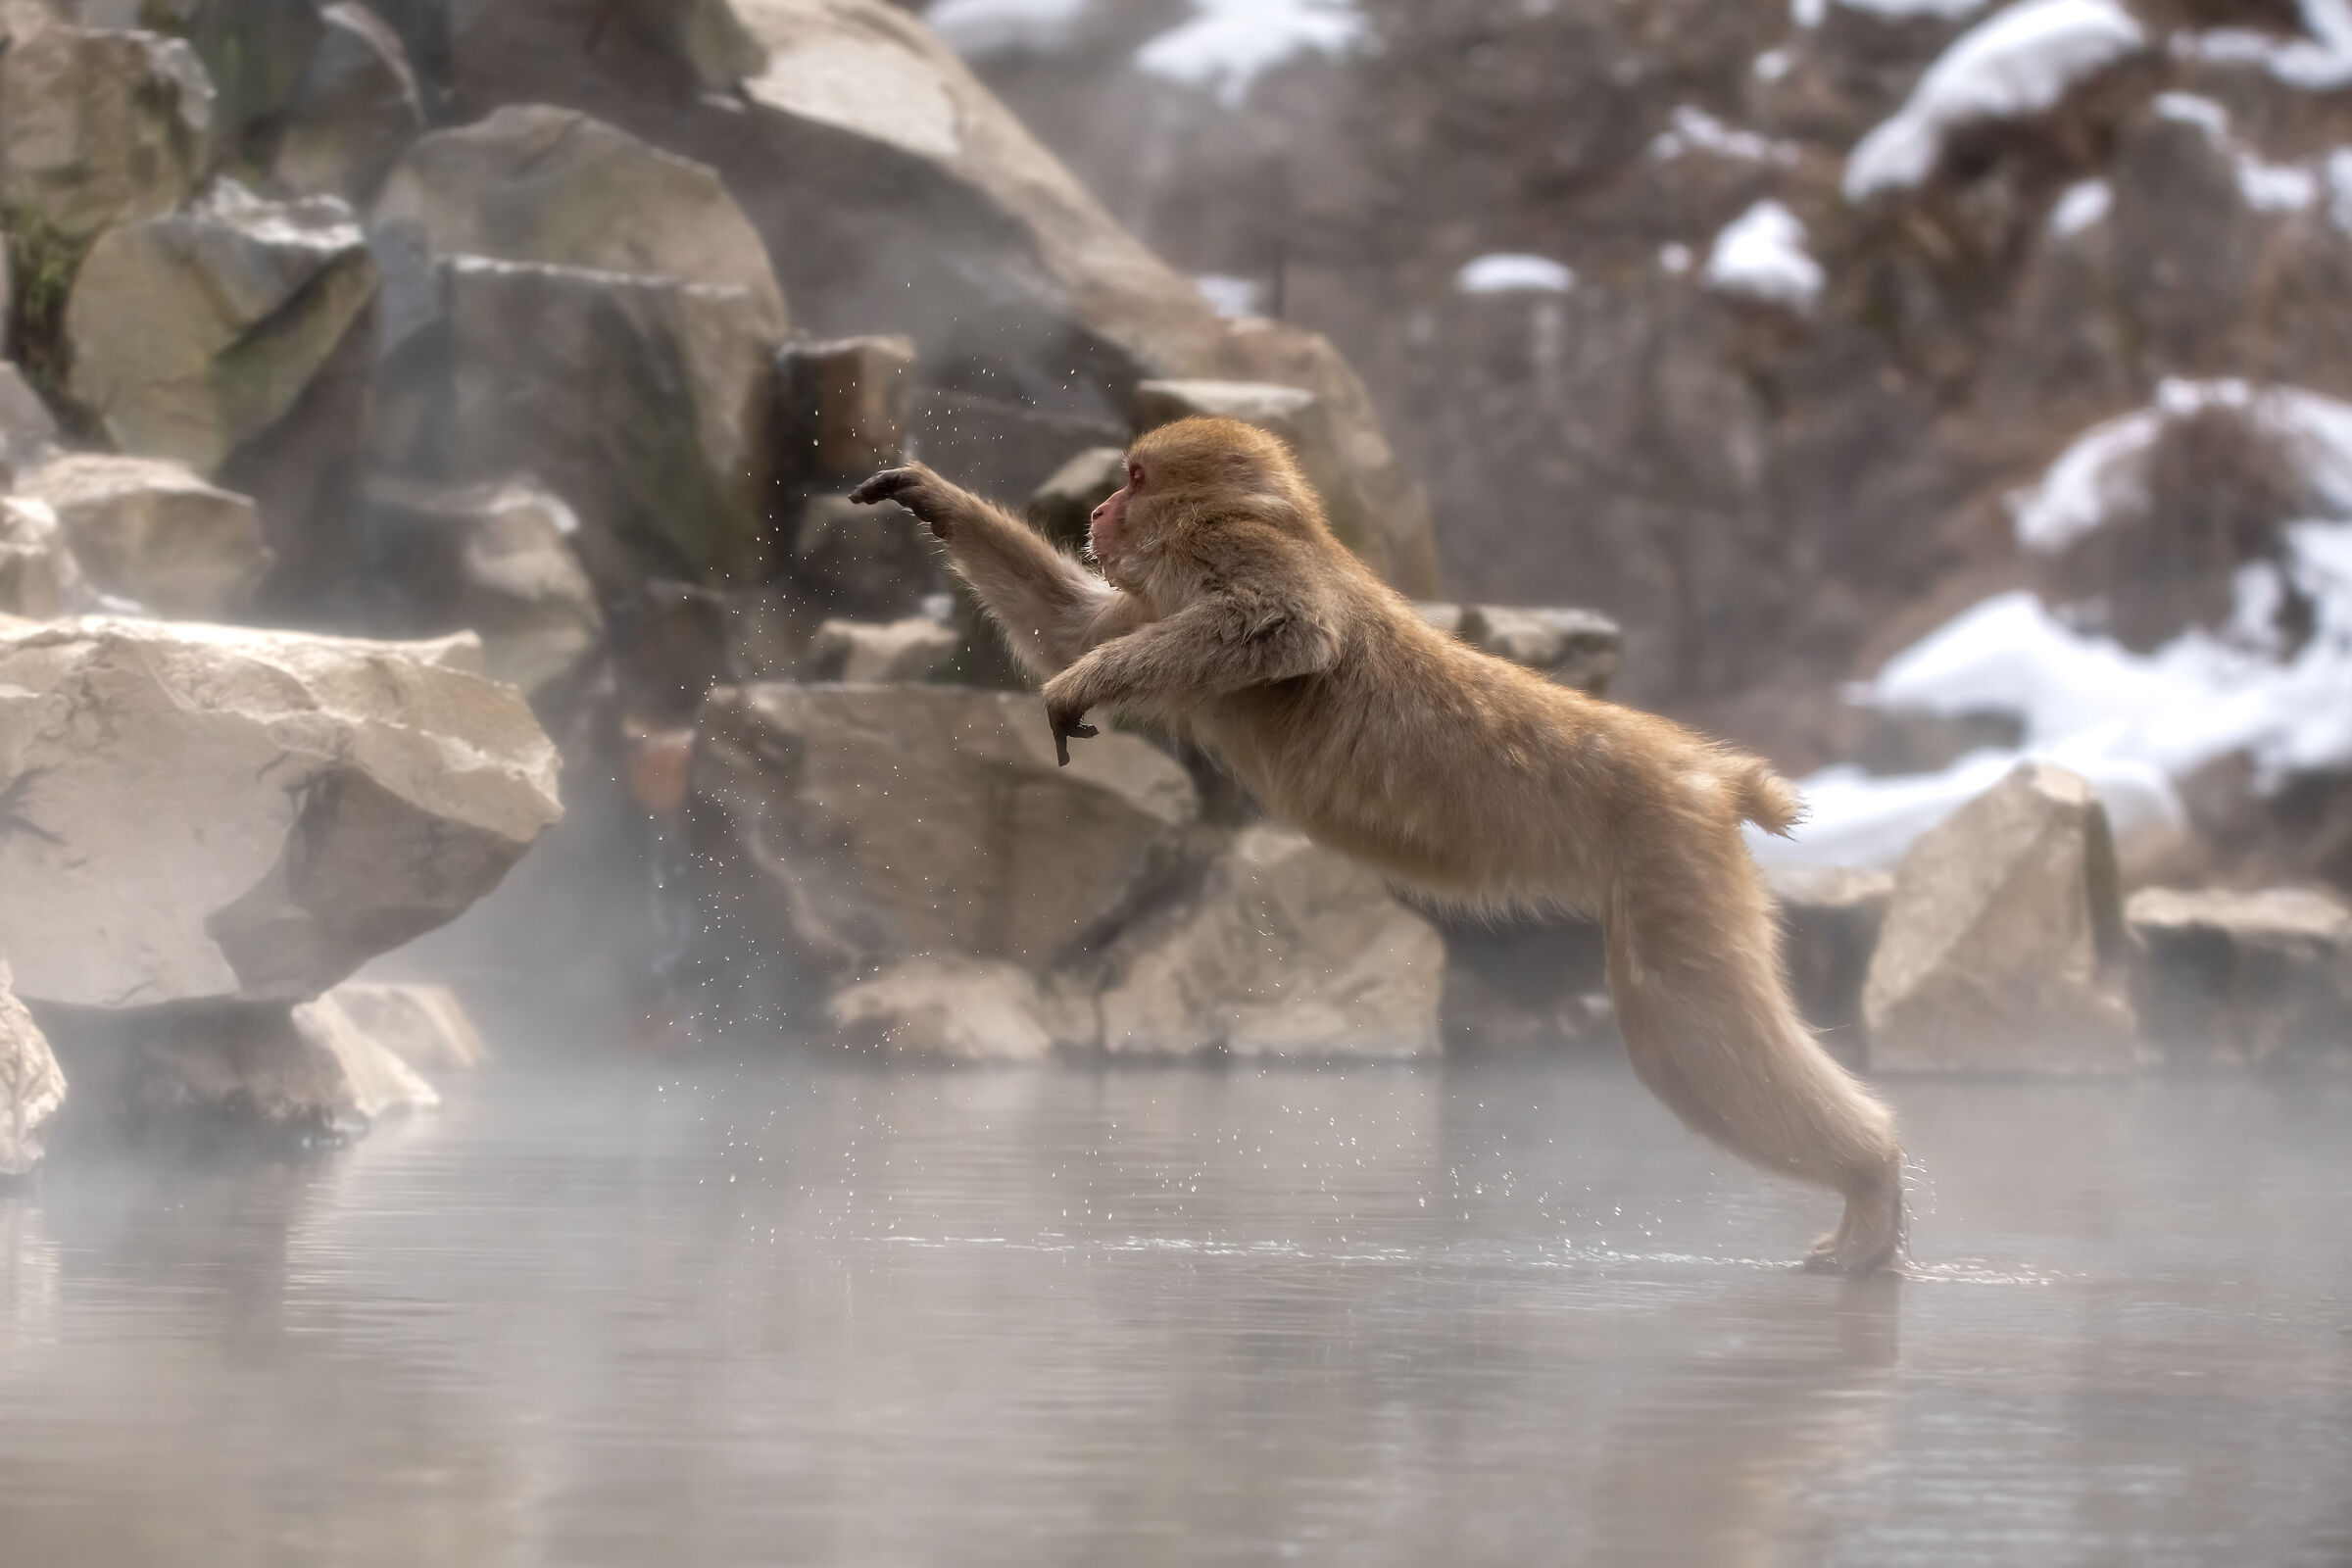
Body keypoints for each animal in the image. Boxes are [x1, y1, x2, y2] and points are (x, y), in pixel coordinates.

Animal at [849, 418, 1905, 1274]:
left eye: (1138, 477)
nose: (1102, 510)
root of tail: (1706, 773)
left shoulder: (1233, 557)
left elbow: (1286, 627)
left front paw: (1084, 681)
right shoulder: (1157, 597)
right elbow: (1070, 623)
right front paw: (931, 496)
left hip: (1667, 855)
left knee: (1686, 1031)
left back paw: (1874, 1175)